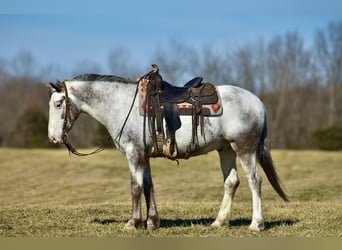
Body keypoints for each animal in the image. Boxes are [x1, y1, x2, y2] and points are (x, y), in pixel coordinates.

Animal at [46, 72, 288, 230]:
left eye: (58, 104)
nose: (53, 138)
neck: (121, 105)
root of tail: (258, 102)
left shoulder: (134, 153)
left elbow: (135, 188)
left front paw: (132, 223)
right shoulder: (144, 155)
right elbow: (148, 187)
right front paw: (152, 221)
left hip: (244, 147)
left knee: (255, 181)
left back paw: (256, 224)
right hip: (226, 149)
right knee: (231, 182)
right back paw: (219, 222)